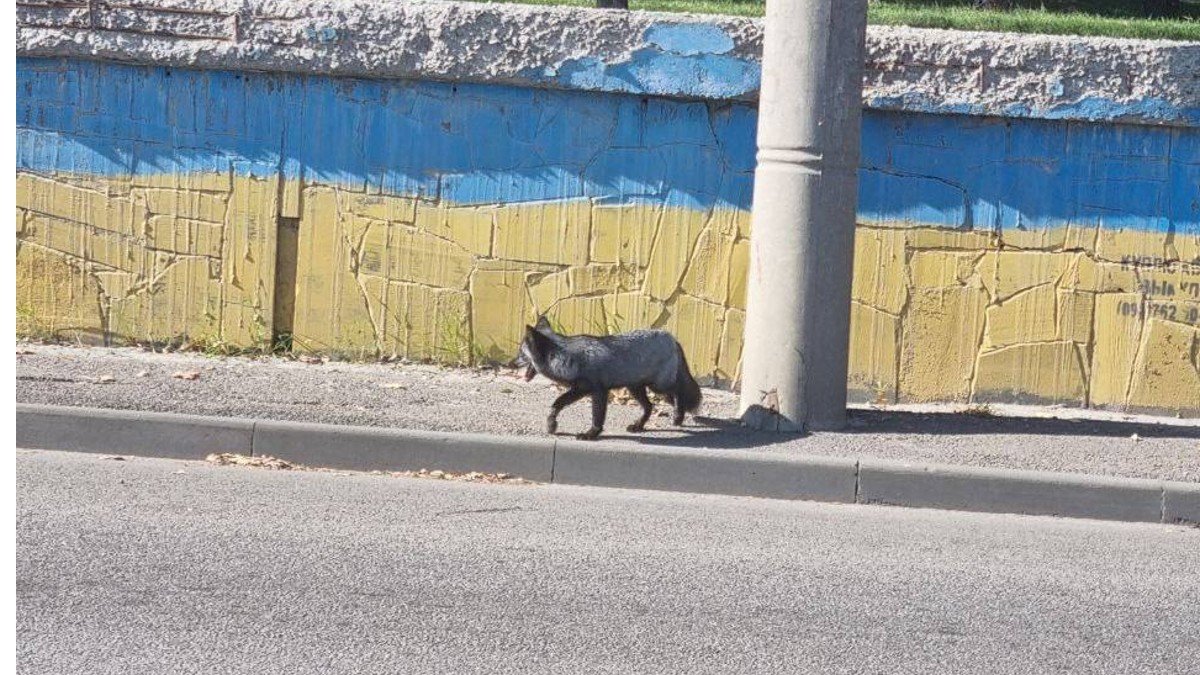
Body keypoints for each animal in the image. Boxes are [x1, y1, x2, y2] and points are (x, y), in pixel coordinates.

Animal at [513, 317, 700, 439]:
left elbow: (597, 416)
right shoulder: (579, 390)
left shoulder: (599, 391)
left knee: (679, 392)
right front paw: (551, 424)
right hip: (635, 388)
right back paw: (639, 425)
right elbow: (557, 403)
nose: (510, 363)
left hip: (659, 386)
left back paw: (678, 416)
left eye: (521, 354)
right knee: (650, 406)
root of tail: (671, 337)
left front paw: (591, 434)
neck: (570, 358)